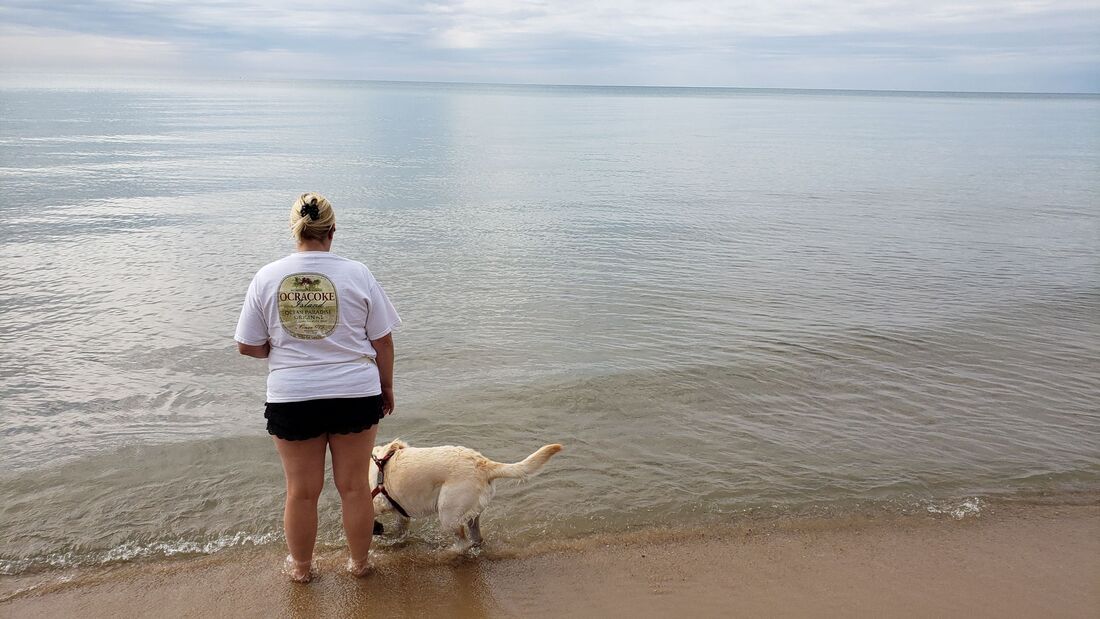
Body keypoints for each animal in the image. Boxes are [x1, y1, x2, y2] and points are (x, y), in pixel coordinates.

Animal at [369, 437, 563, 549]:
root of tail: (484, 463)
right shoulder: (400, 513)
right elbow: (400, 529)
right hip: (470, 513)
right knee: (475, 537)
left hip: (448, 514)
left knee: (462, 542)